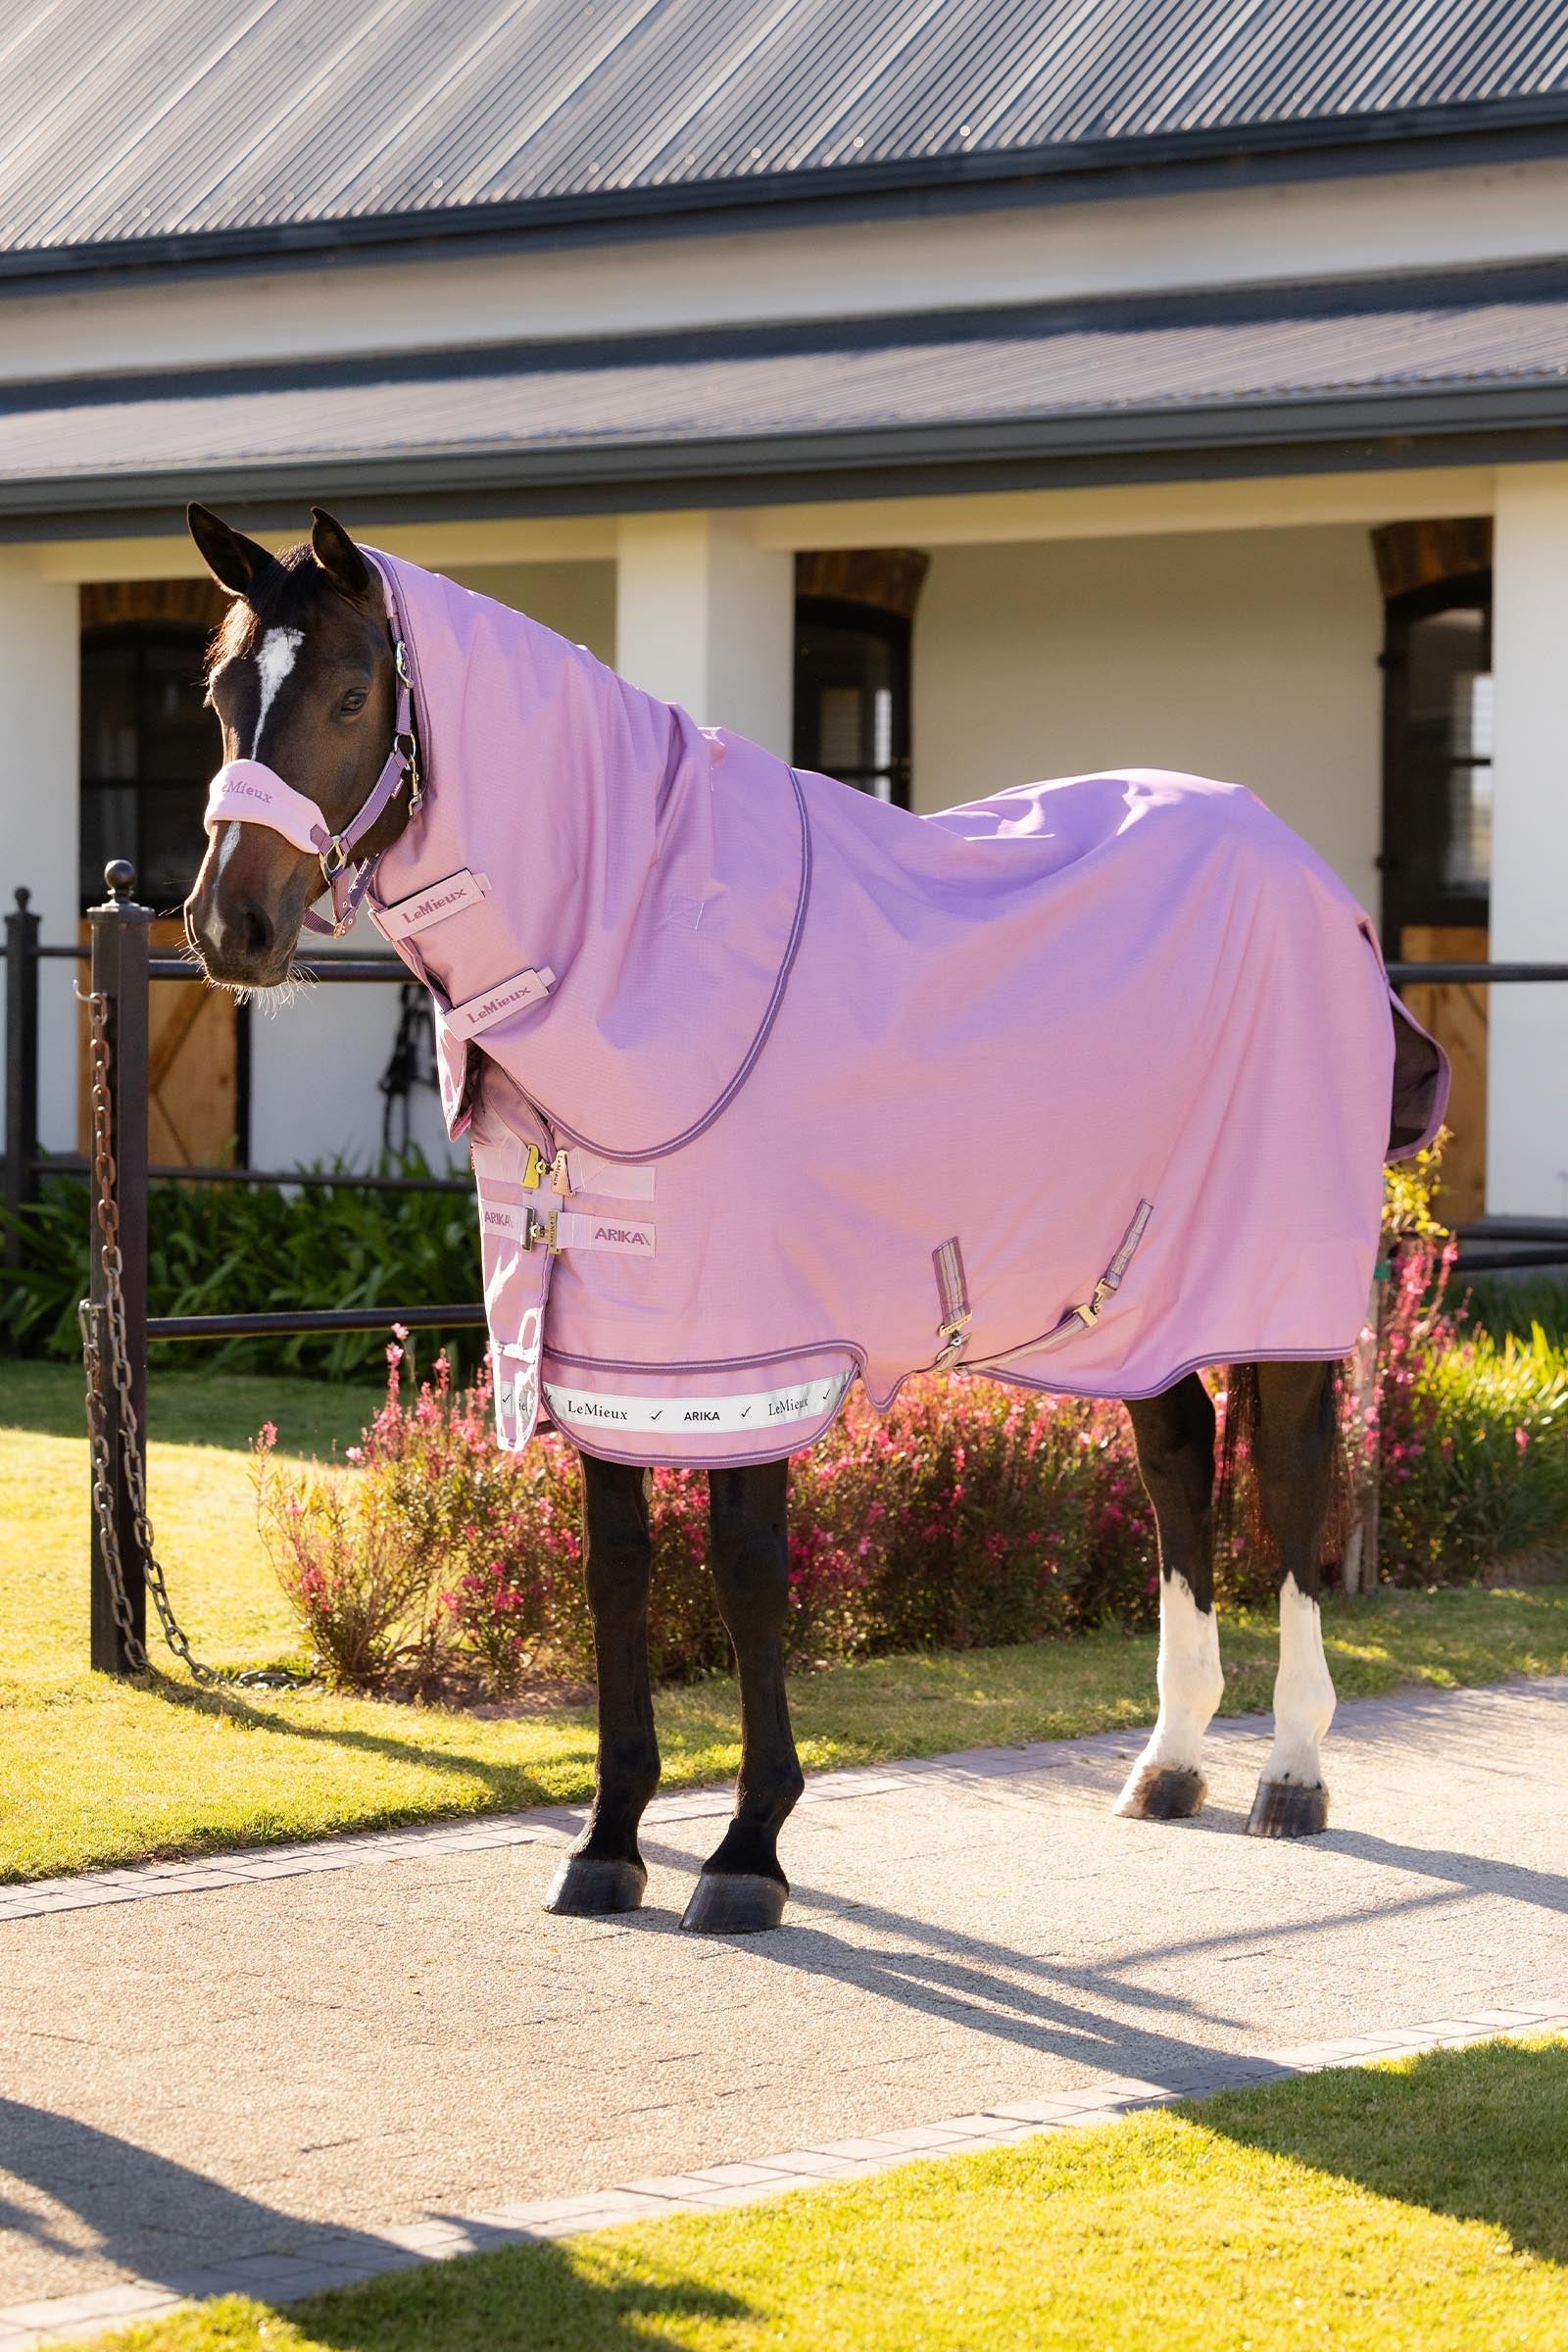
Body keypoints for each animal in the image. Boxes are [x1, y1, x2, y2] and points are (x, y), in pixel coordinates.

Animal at [183, 501, 1442, 1936]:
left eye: (350, 694)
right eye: (223, 697)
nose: (230, 925)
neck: (652, 945)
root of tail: (1318, 887)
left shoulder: (749, 1349)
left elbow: (742, 1572)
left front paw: (746, 1853)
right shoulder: (614, 1355)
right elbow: (617, 1569)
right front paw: (608, 1843)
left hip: (1275, 1289)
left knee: (1292, 1485)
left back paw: (1291, 1770)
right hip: (1143, 1295)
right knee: (1178, 1468)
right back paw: (1170, 1763)